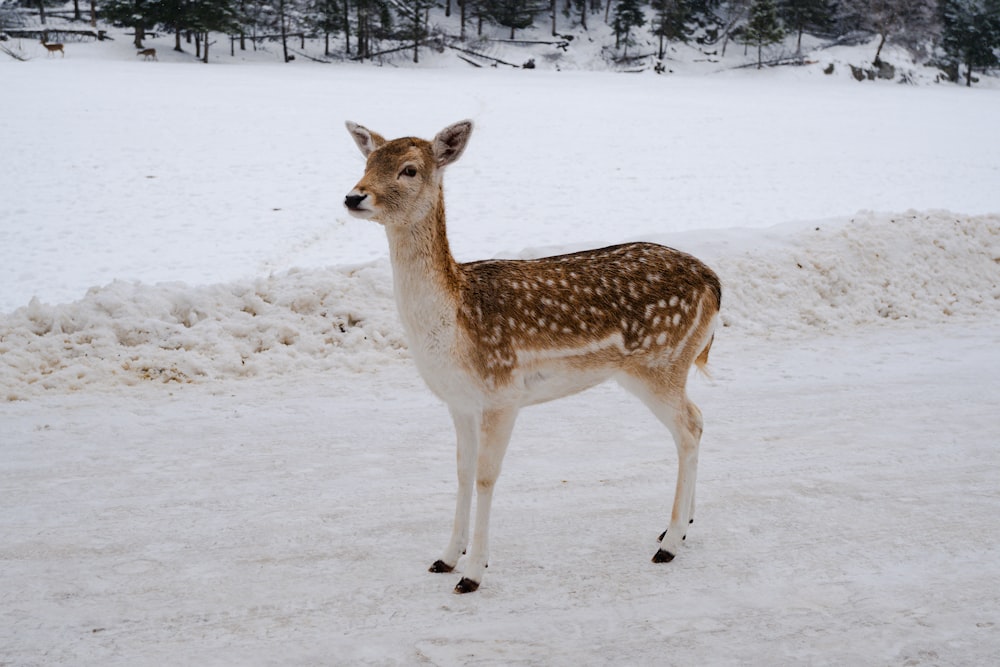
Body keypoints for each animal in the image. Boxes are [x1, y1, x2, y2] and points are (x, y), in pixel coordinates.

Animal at [344, 120, 720, 596]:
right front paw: (446, 557)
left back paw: (668, 544)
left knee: (688, 427)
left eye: (409, 169)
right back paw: (682, 527)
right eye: (368, 161)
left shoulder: (502, 393)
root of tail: (714, 282)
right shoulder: (459, 401)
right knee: (699, 419)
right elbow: (462, 471)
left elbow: (486, 476)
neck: (452, 324)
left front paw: (473, 573)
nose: (354, 196)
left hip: (660, 362)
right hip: (666, 365)